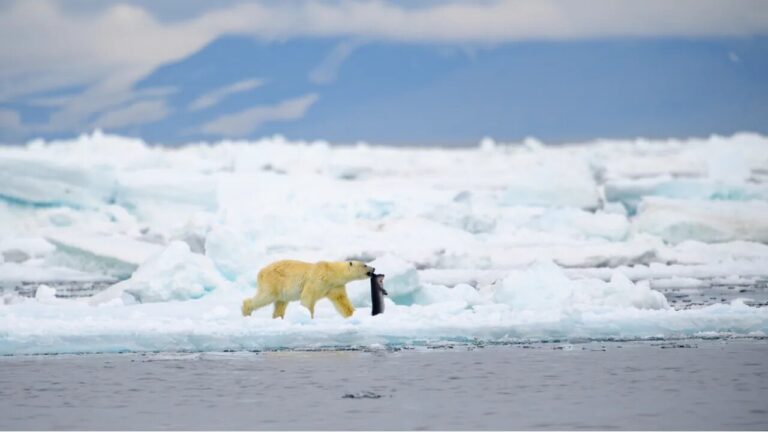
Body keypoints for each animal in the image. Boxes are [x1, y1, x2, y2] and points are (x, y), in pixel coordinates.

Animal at [238, 258, 374, 318]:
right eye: (365, 265)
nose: (373, 268)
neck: (332, 272)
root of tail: (260, 272)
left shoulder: (335, 286)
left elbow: (342, 301)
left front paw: (353, 314)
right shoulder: (319, 279)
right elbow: (308, 297)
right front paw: (309, 318)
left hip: (282, 290)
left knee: (280, 303)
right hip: (273, 282)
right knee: (265, 297)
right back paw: (246, 311)